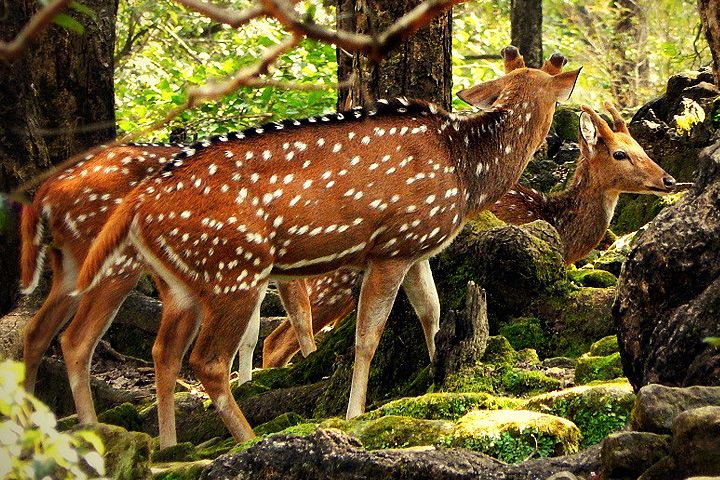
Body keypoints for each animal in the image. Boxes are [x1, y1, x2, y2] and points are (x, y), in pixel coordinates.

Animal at [74, 45, 582, 442]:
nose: (559, 139)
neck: (465, 170)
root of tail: (136, 204)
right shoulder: (391, 246)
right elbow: (367, 335)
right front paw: (356, 412)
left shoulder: (415, 246)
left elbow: (432, 311)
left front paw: (438, 379)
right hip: (234, 269)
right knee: (207, 361)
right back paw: (246, 438)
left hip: (180, 281)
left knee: (157, 353)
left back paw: (164, 444)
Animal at [261, 102, 677, 367]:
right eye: (620, 154)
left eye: (641, 147)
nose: (668, 179)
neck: (551, 217)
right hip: (332, 278)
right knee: (276, 338)